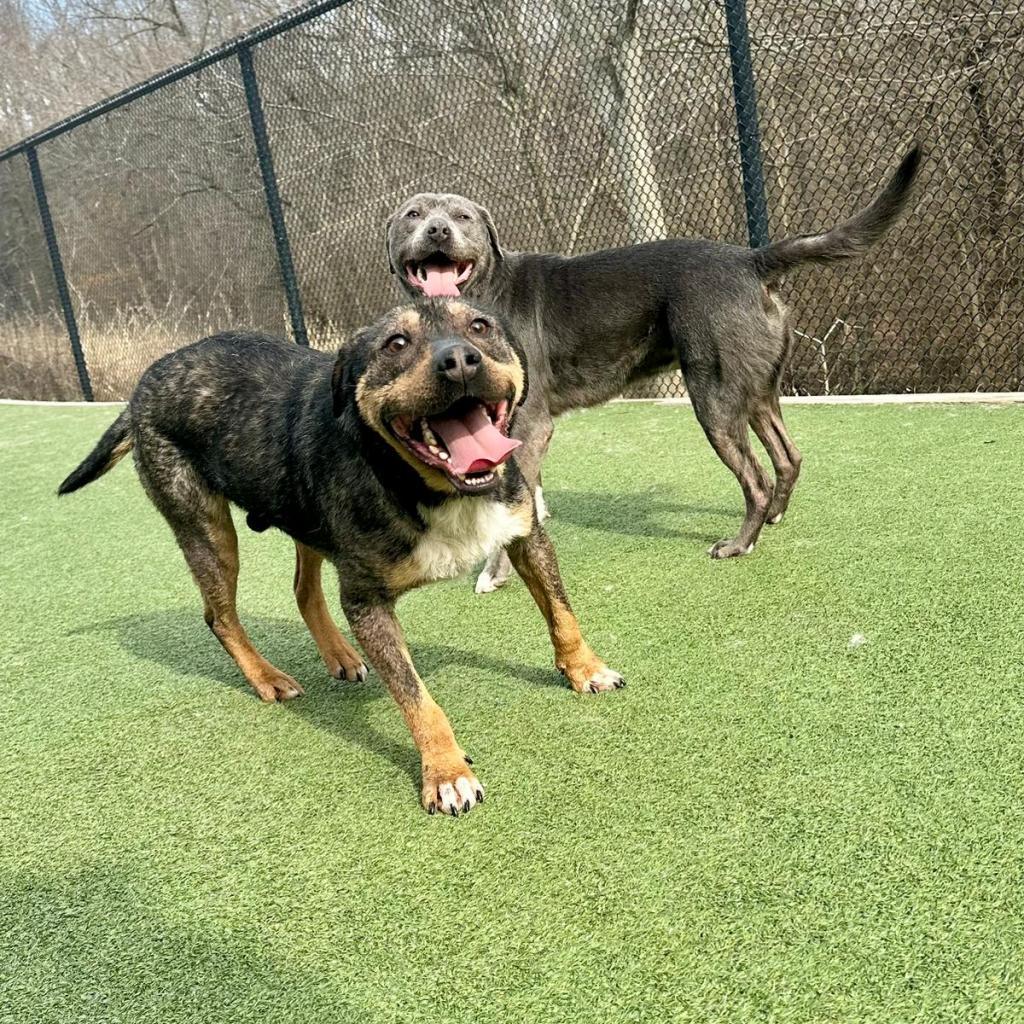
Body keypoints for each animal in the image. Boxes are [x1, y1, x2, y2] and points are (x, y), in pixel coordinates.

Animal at [64, 299, 626, 815]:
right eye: (395, 344)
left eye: (480, 327)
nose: (460, 360)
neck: (431, 489)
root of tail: (145, 382)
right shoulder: (367, 602)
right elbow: (418, 699)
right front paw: (445, 773)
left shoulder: (526, 536)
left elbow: (562, 613)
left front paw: (585, 669)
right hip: (207, 529)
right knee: (220, 616)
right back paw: (267, 678)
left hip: (305, 519)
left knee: (302, 589)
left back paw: (339, 654)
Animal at [387, 145, 925, 593]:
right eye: (413, 215)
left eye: (462, 216)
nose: (438, 230)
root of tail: (751, 260)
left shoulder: (528, 425)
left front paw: (494, 573)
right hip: (754, 391)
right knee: (788, 459)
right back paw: (773, 518)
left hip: (713, 399)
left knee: (756, 478)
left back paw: (739, 543)